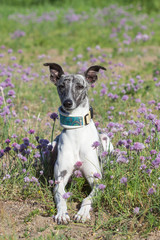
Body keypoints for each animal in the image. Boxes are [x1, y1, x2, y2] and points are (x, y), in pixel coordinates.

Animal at [43, 62, 113, 224]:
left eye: (80, 86)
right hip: (51, 146)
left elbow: (88, 198)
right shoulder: (59, 180)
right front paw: (62, 214)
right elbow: (61, 197)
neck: (76, 131)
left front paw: (82, 213)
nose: (68, 103)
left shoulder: (96, 181)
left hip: (106, 139)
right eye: (61, 86)